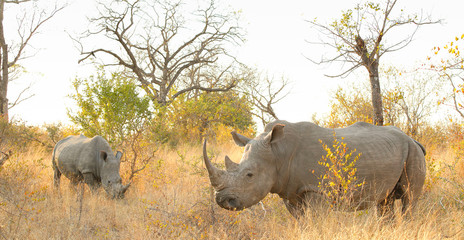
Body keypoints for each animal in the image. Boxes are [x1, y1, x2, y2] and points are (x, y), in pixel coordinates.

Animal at [205, 121, 426, 217]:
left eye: (249, 175)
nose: (222, 200)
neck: (277, 153)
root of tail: (413, 139)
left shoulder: (317, 189)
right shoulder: (290, 192)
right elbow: (301, 222)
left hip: (413, 152)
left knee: (409, 198)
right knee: (385, 202)